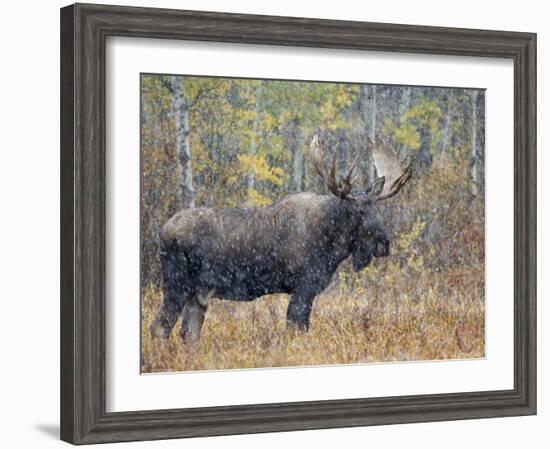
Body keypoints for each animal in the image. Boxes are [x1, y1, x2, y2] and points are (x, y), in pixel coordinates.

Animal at [149, 135, 412, 338]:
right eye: (358, 211)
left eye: (376, 208)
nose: (384, 243)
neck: (333, 247)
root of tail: (162, 232)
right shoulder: (304, 286)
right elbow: (297, 329)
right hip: (177, 283)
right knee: (160, 327)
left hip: (199, 292)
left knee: (188, 332)